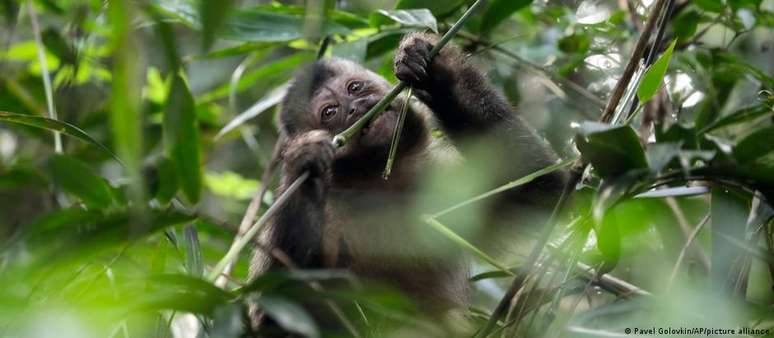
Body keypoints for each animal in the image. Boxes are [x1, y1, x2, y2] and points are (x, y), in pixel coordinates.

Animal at [252, 32, 568, 336]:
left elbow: (543, 191)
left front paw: (435, 71)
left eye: (355, 88)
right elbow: (275, 318)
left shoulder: (447, 177)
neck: (379, 179)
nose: (354, 109)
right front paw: (303, 160)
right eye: (330, 112)